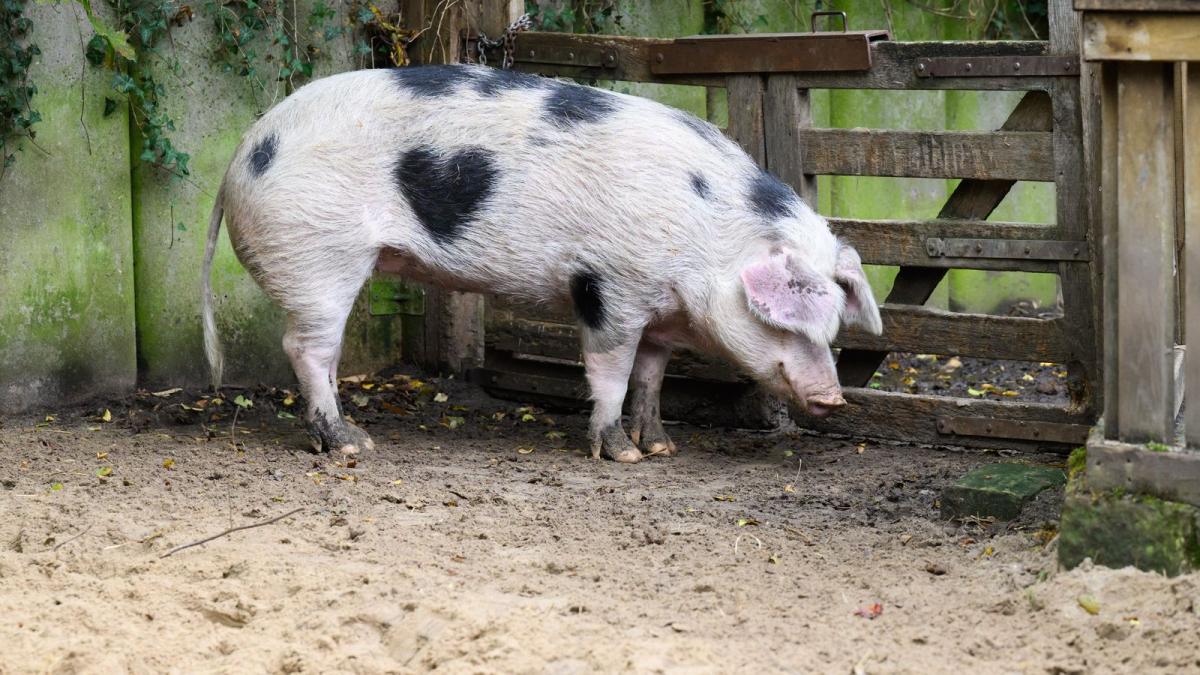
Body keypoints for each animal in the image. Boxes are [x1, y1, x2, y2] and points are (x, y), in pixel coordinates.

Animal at [202, 64, 883, 463]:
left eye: (833, 328)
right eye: (785, 323)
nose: (834, 397)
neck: (706, 234)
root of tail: (240, 156)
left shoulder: (659, 312)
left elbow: (651, 375)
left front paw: (661, 447)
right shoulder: (609, 286)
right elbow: (611, 371)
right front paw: (622, 456)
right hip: (318, 254)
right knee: (306, 348)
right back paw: (349, 447)